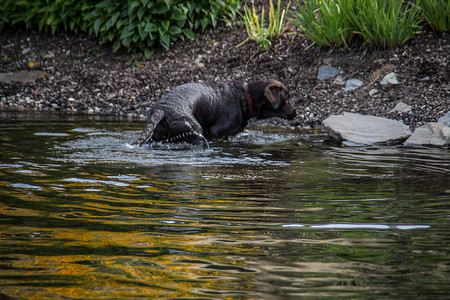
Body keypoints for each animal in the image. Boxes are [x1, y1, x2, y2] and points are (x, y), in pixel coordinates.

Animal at [132, 79, 298, 146]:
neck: (246, 97)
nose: (296, 113)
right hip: (194, 129)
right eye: (287, 98)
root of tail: (161, 110)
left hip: (158, 134)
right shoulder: (215, 132)